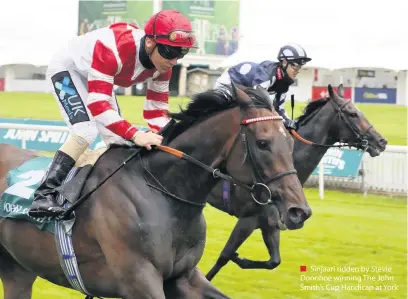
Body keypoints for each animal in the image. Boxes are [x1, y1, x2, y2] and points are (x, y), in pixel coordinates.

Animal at [0, 84, 310, 299]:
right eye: (262, 143)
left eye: (290, 143)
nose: (299, 211)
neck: (162, 192)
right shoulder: (139, 281)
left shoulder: (184, 277)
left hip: (18, 271)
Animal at [206, 84, 388, 282]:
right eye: (353, 113)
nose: (381, 141)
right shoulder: (249, 218)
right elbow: (223, 257)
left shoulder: (272, 221)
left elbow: (274, 261)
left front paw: (241, 259)